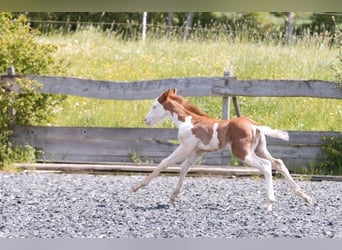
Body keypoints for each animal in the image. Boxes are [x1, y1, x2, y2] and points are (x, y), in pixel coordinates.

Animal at [132, 89, 312, 210]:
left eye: (155, 106)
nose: (146, 120)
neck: (188, 121)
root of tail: (254, 125)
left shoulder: (185, 148)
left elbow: (164, 163)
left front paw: (137, 187)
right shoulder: (197, 151)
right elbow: (184, 168)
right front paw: (173, 196)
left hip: (242, 153)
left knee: (266, 166)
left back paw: (269, 202)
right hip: (260, 149)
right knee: (278, 163)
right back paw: (305, 196)